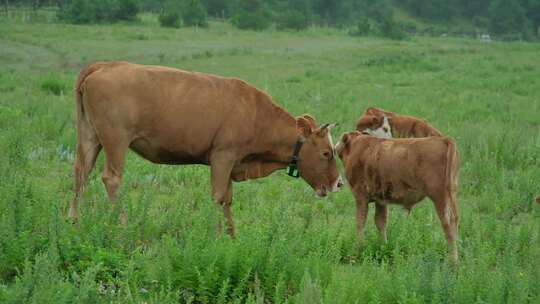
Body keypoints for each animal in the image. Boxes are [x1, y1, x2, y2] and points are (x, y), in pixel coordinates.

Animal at [70, 61, 342, 235]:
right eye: (326, 153)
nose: (339, 183)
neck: (256, 114)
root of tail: (105, 65)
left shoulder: (232, 163)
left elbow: (228, 200)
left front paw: (232, 237)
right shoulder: (223, 156)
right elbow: (219, 197)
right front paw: (217, 235)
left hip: (90, 137)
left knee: (81, 174)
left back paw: (74, 221)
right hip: (116, 140)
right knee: (111, 178)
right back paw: (122, 224)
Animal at [338, 132, 460, 262]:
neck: (360, 147)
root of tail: (443, 139)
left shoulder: (361, 197)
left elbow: (360, 222)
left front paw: (359, 248)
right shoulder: (380, 200)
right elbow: (381, 222)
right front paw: (384, 247)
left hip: (440, 197)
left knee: (448, 223)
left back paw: (453, 261)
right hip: (451, 194)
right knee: (455, 221)